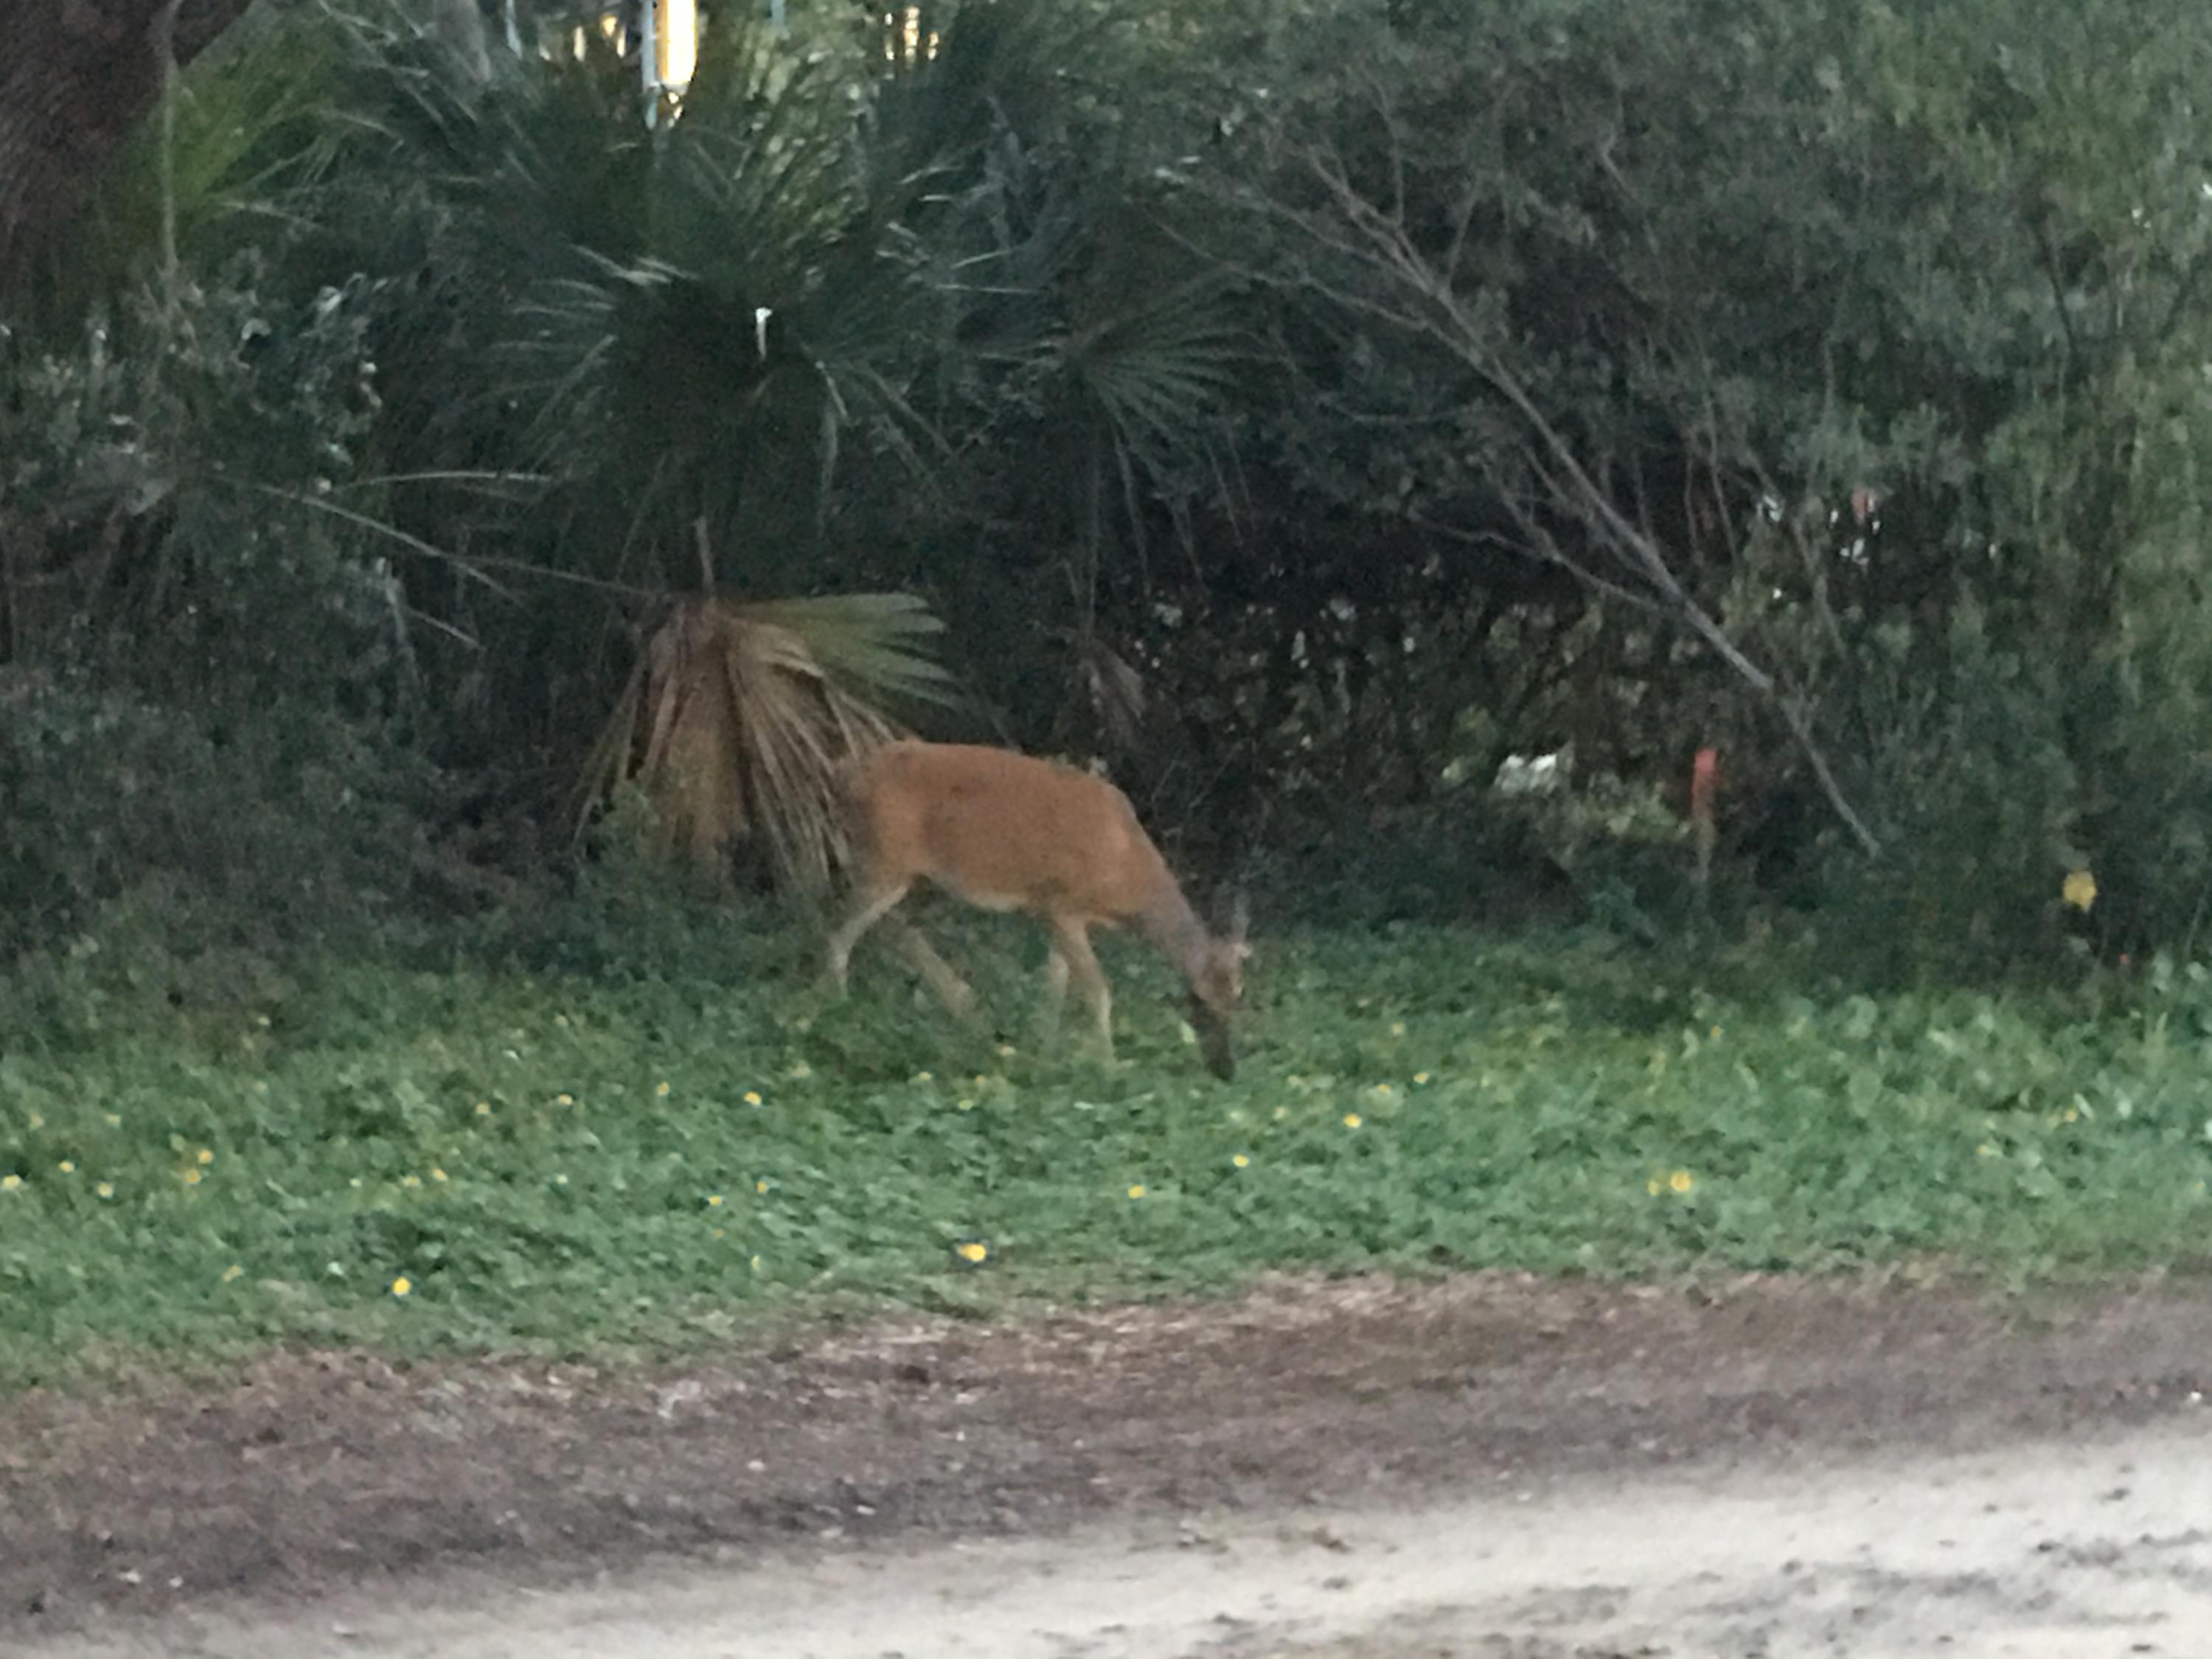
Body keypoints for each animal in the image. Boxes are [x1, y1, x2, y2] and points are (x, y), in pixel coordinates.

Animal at [823, 741, 1250, 1079]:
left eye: (1236, 999)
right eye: (1200, 1005)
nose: (1225, 1069)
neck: (1125, 868)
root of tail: (846, 776)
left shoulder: (1055, 913)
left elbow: (1054, 984)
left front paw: (1046, 1051)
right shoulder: (1060, 904)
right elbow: (1096, 988)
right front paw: (1108, 1065)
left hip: (905, 873)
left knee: (889, 928)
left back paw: (963, 1007)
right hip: (883, 859)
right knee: (842, 929)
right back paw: (837, 1009)